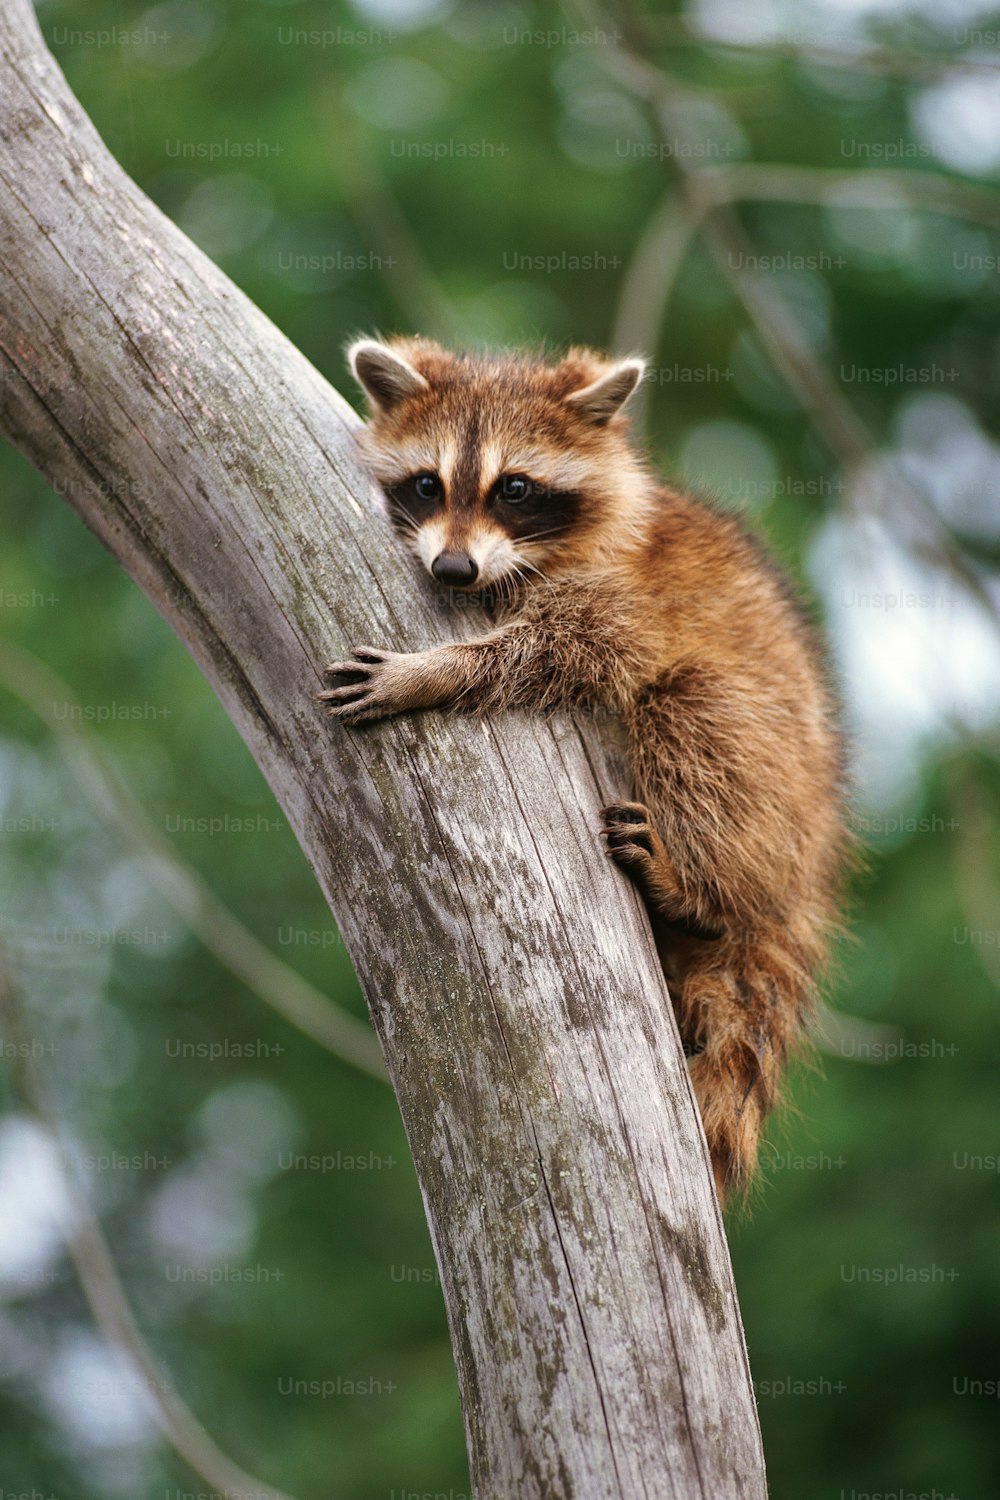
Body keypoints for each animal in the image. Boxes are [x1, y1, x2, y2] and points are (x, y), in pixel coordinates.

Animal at [322, 337, 851, 1194]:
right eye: (428, 482)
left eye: (515, 488)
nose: (453, 572)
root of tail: (806, 875)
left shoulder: (626, 596)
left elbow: (565, 650)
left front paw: (433, 671)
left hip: (769, 775)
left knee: (693, 713)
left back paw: (697, 887)